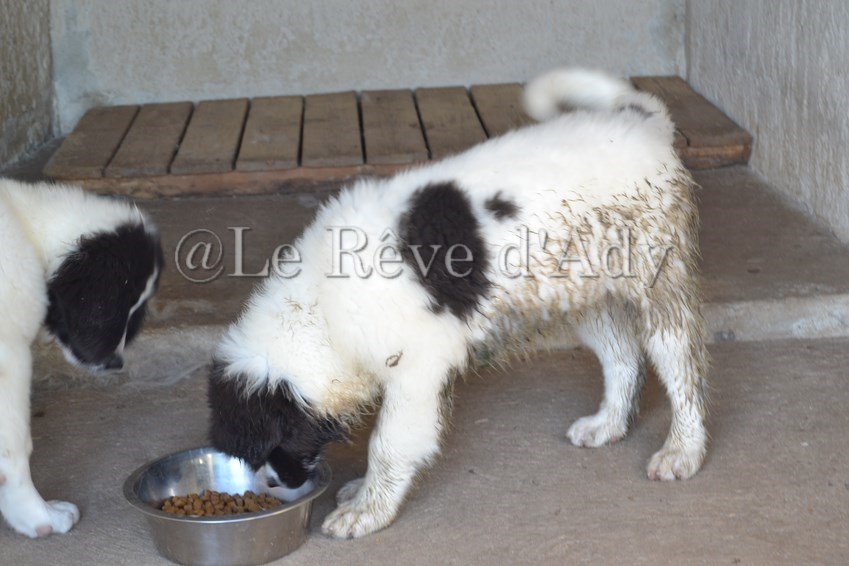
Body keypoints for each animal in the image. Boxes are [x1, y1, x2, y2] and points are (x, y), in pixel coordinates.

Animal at [0, 179, 162, 537]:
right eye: (112, 307)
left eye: (136, 312)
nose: (116, 363)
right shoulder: (8, 355)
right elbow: (14, 448)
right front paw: (39, 517)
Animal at [208, 68, 709, 539]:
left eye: (272, 445)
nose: (274, 486)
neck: (318, 311)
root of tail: (640, 119)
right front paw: (362, 495)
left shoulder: (414, 370)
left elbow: (388, 444)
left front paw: (367, 511)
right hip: (581, 291)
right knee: (621, 355)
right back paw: (608, 424)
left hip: (655, 278)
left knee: (679, 364)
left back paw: (682, 450)